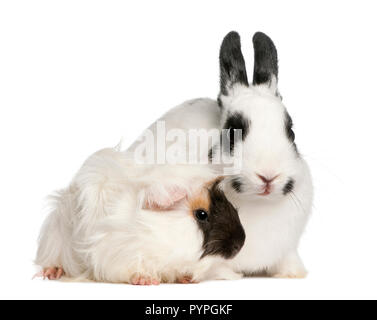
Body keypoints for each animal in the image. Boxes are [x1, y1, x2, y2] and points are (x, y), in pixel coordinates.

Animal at [125, 31, 312, 278]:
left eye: (291, 132)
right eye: (232, 133)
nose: (268, 176)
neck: (257, 203)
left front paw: (293, 273)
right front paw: (228, 275)